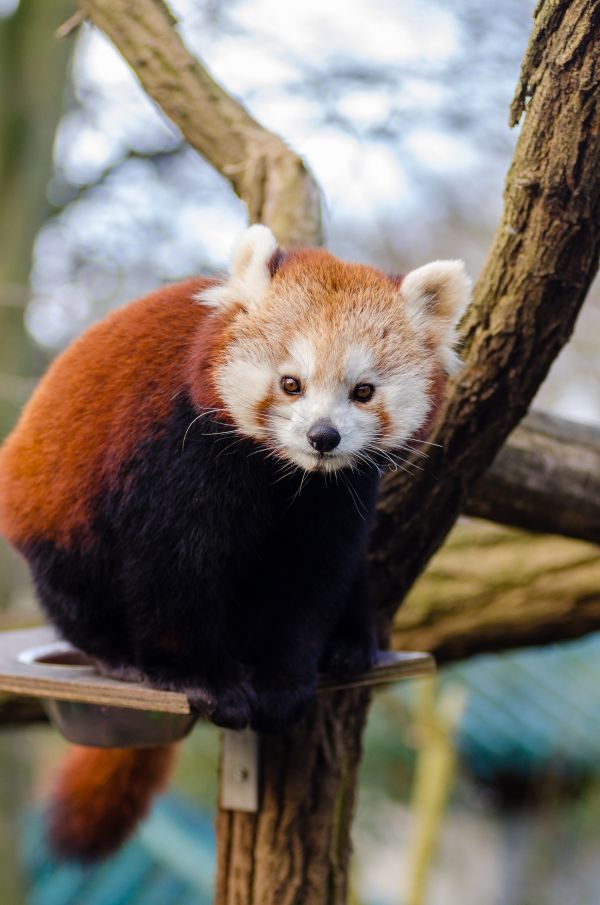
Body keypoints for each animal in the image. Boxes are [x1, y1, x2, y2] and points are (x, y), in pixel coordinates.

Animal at [0, 222, 472, 860]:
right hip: (58, 517)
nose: (323, 436)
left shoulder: (336, 496)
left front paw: (283, 680)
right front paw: (200, 679)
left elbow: (311, 579)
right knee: (77, 592)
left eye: (363, 391)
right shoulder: (178, 452)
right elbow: (174, 568)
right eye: (291, 383)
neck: (286, 475)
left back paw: (351, 644)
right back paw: (116, 655)